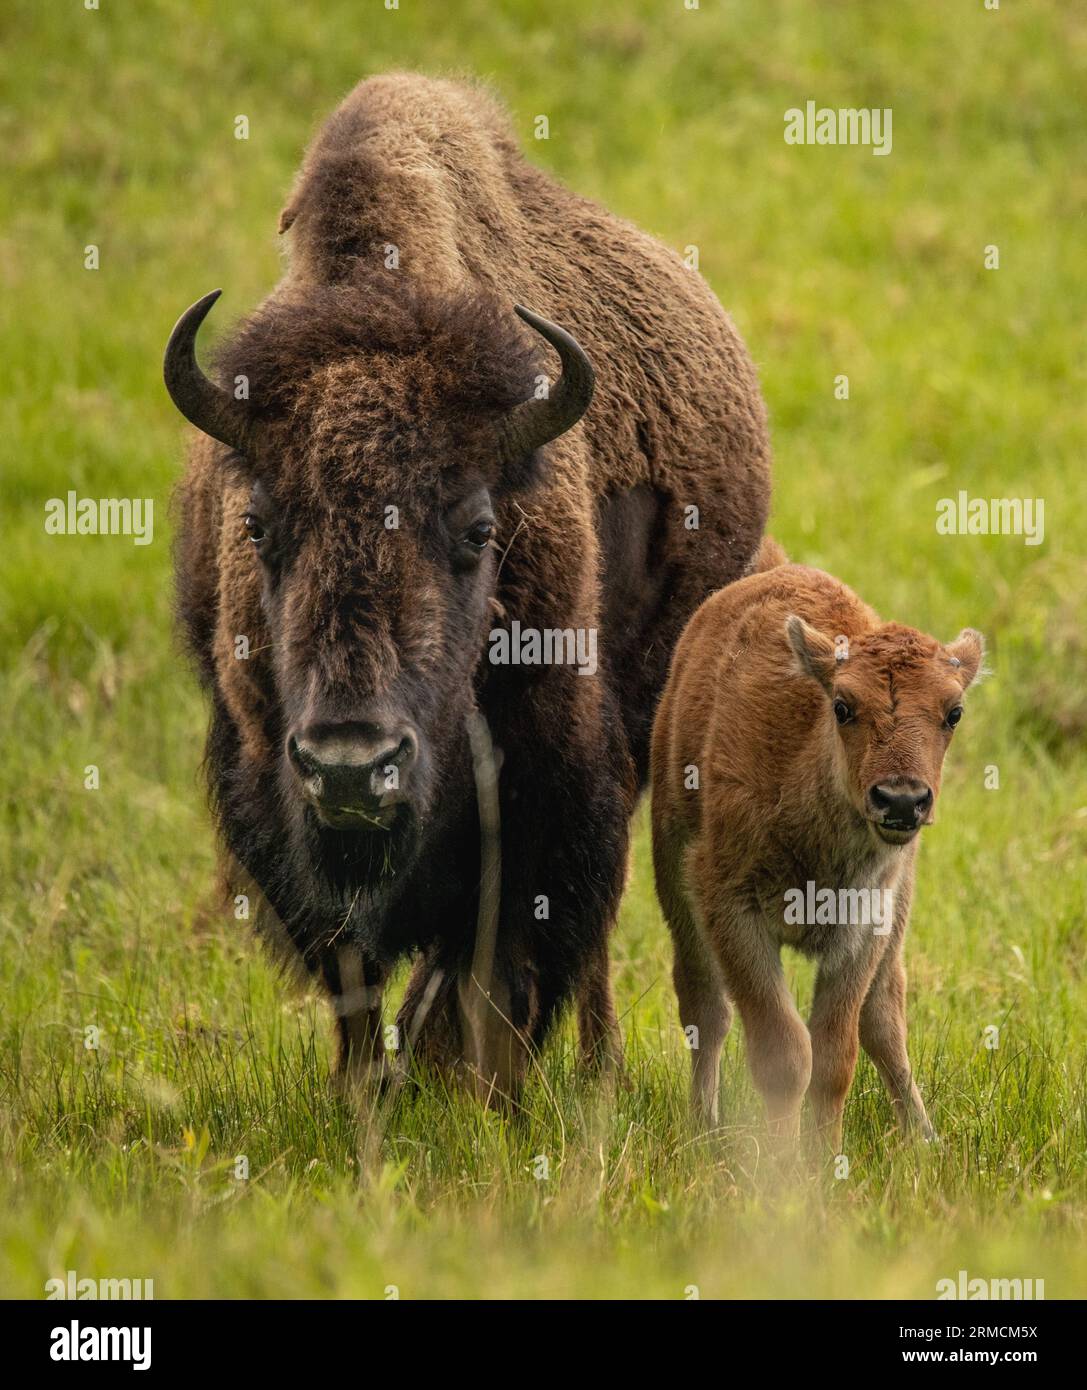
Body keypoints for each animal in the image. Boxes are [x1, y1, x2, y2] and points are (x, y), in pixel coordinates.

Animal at [164, 73, 772, 1095]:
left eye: (479, 529)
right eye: (257, 526)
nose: (351, 765)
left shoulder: (548, 777)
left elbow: (508, 950)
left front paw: (485, 1090)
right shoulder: (268, 782)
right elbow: (353, 969)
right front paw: (364, 1093)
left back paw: (591, 1069)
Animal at [656, 553, 989, 1150]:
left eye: (954, 712)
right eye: (842, 706)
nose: (901, 800)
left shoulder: (866, 924)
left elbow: (835, 1057)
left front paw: (823, 1160)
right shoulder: (730, 908)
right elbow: (785, 1053)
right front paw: (785, 1164)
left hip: (899, 914)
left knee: (884, 1018)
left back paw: (925, 1139)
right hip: (673, 874)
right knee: (704, 1007)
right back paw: (703, 1126)